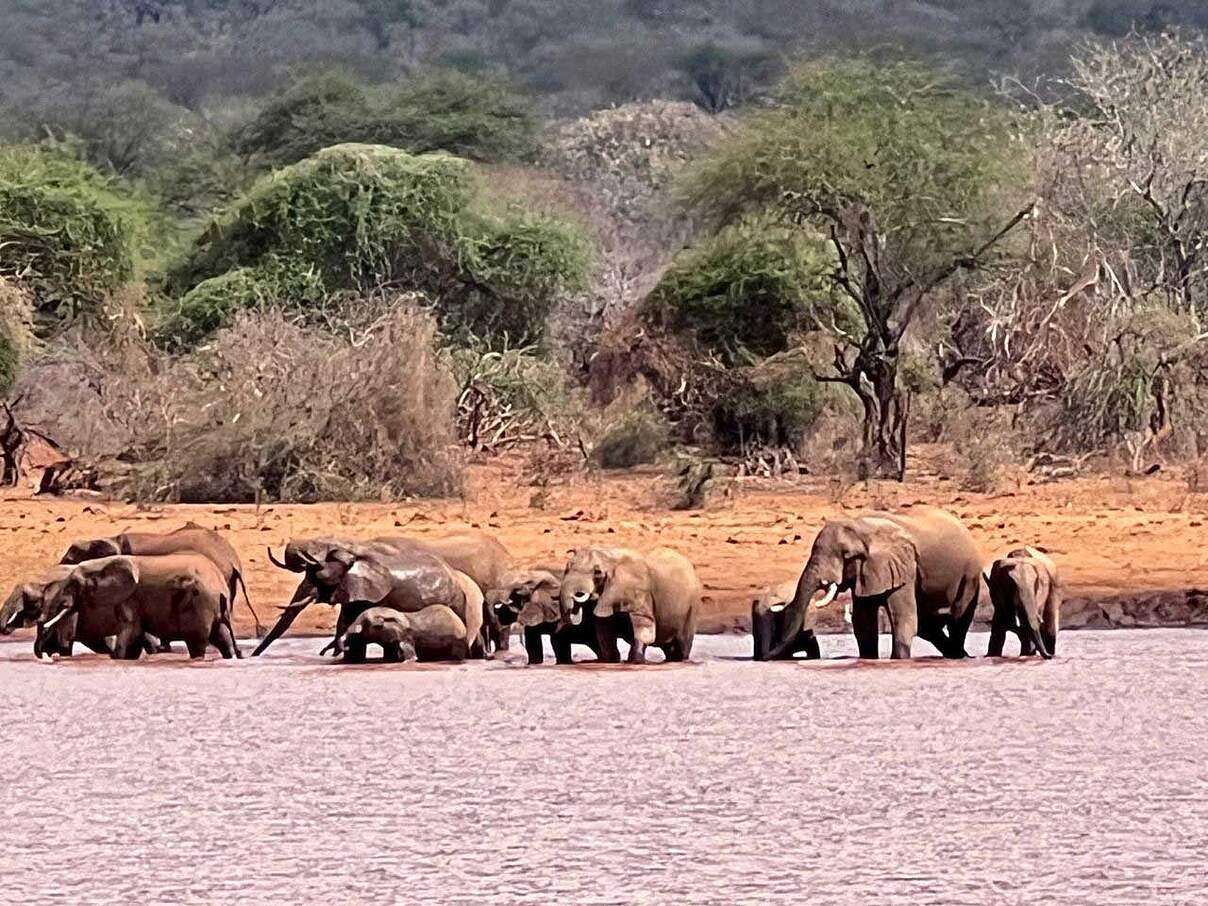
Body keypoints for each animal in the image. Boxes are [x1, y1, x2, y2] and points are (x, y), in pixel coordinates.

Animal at [343, 606, 473, 661]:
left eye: (365, 623)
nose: (346, 646)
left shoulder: (405, 635)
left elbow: (406, 648)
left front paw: (409, 661)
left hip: (457, 639)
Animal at [562, 546, 705, 666]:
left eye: (597, 572)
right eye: (566, 569)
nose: (578, 595)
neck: (609, 556)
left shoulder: (640, 592)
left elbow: (644, 625)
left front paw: (636, 661)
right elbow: (604, 629)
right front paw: (612, 661)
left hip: (691, 608)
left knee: (683, 643)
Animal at [768, 507, 985, 661]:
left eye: (846, 556)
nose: (766, 657)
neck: (861, 527)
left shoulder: (904, 568)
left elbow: (903, 619)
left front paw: (897, 661)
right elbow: (863, 624)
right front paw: (868, 660)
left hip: (969, 575)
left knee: (957, 620)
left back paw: (959, 656)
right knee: (928, 626)